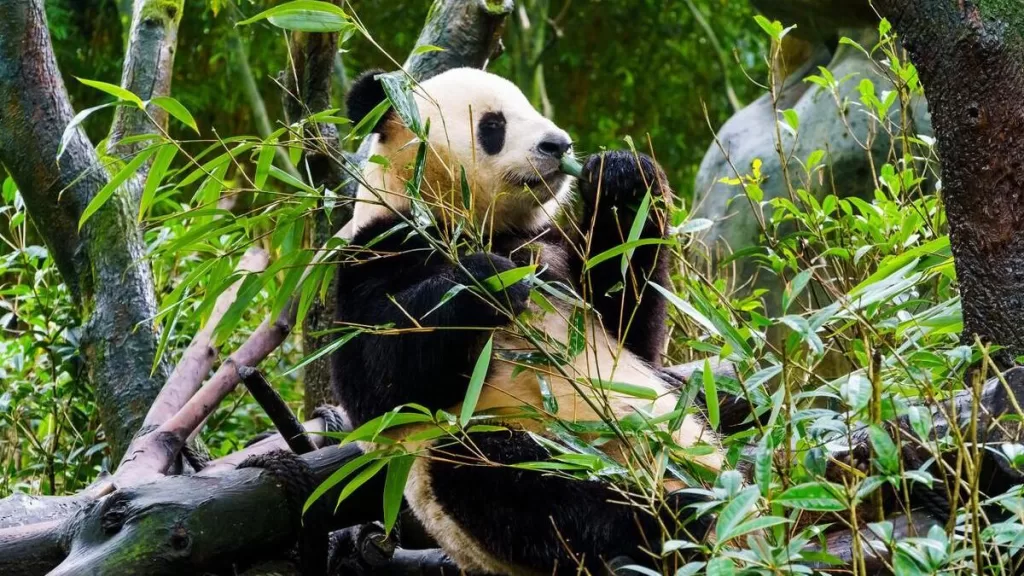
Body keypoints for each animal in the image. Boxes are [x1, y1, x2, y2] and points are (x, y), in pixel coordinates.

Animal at [331, 67, 723, 575]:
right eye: (494, 125)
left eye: (535, 109)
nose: (558, 145)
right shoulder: (377, 251)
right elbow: (378, 380)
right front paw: (490, 281)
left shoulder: (549, 247)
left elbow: (632, 324)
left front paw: (622, 178)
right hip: (495, 458)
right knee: (510, 481)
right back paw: (667, 520)